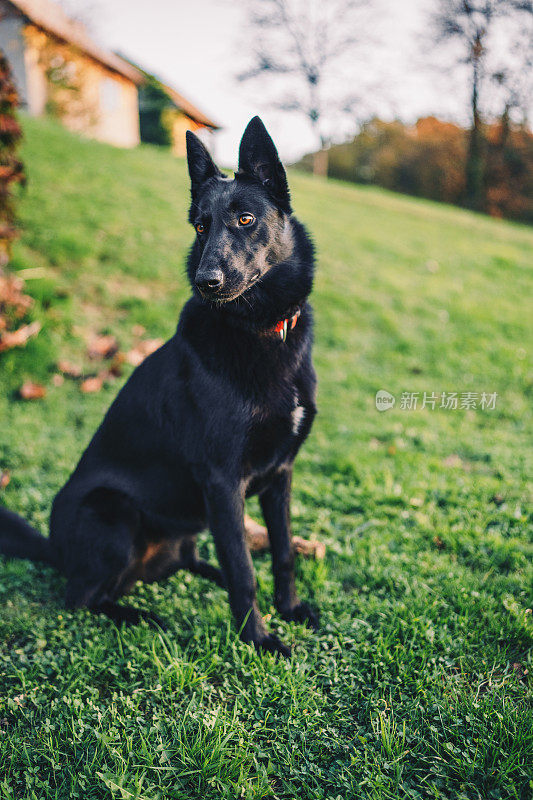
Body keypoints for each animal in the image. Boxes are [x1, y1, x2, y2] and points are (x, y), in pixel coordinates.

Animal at [0, 117, 316, 656]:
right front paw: (258, 639)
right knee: (80, 598)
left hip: (183, 530)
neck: (261, 330)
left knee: (189, 563)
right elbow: (245, 571)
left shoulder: (280, 476)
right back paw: (142, 618)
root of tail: (55, 549)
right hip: (115, 513)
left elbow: (280, 554)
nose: (206, 281)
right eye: (201, 227)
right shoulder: (223, 482)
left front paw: (289, 610)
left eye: (246, 219)